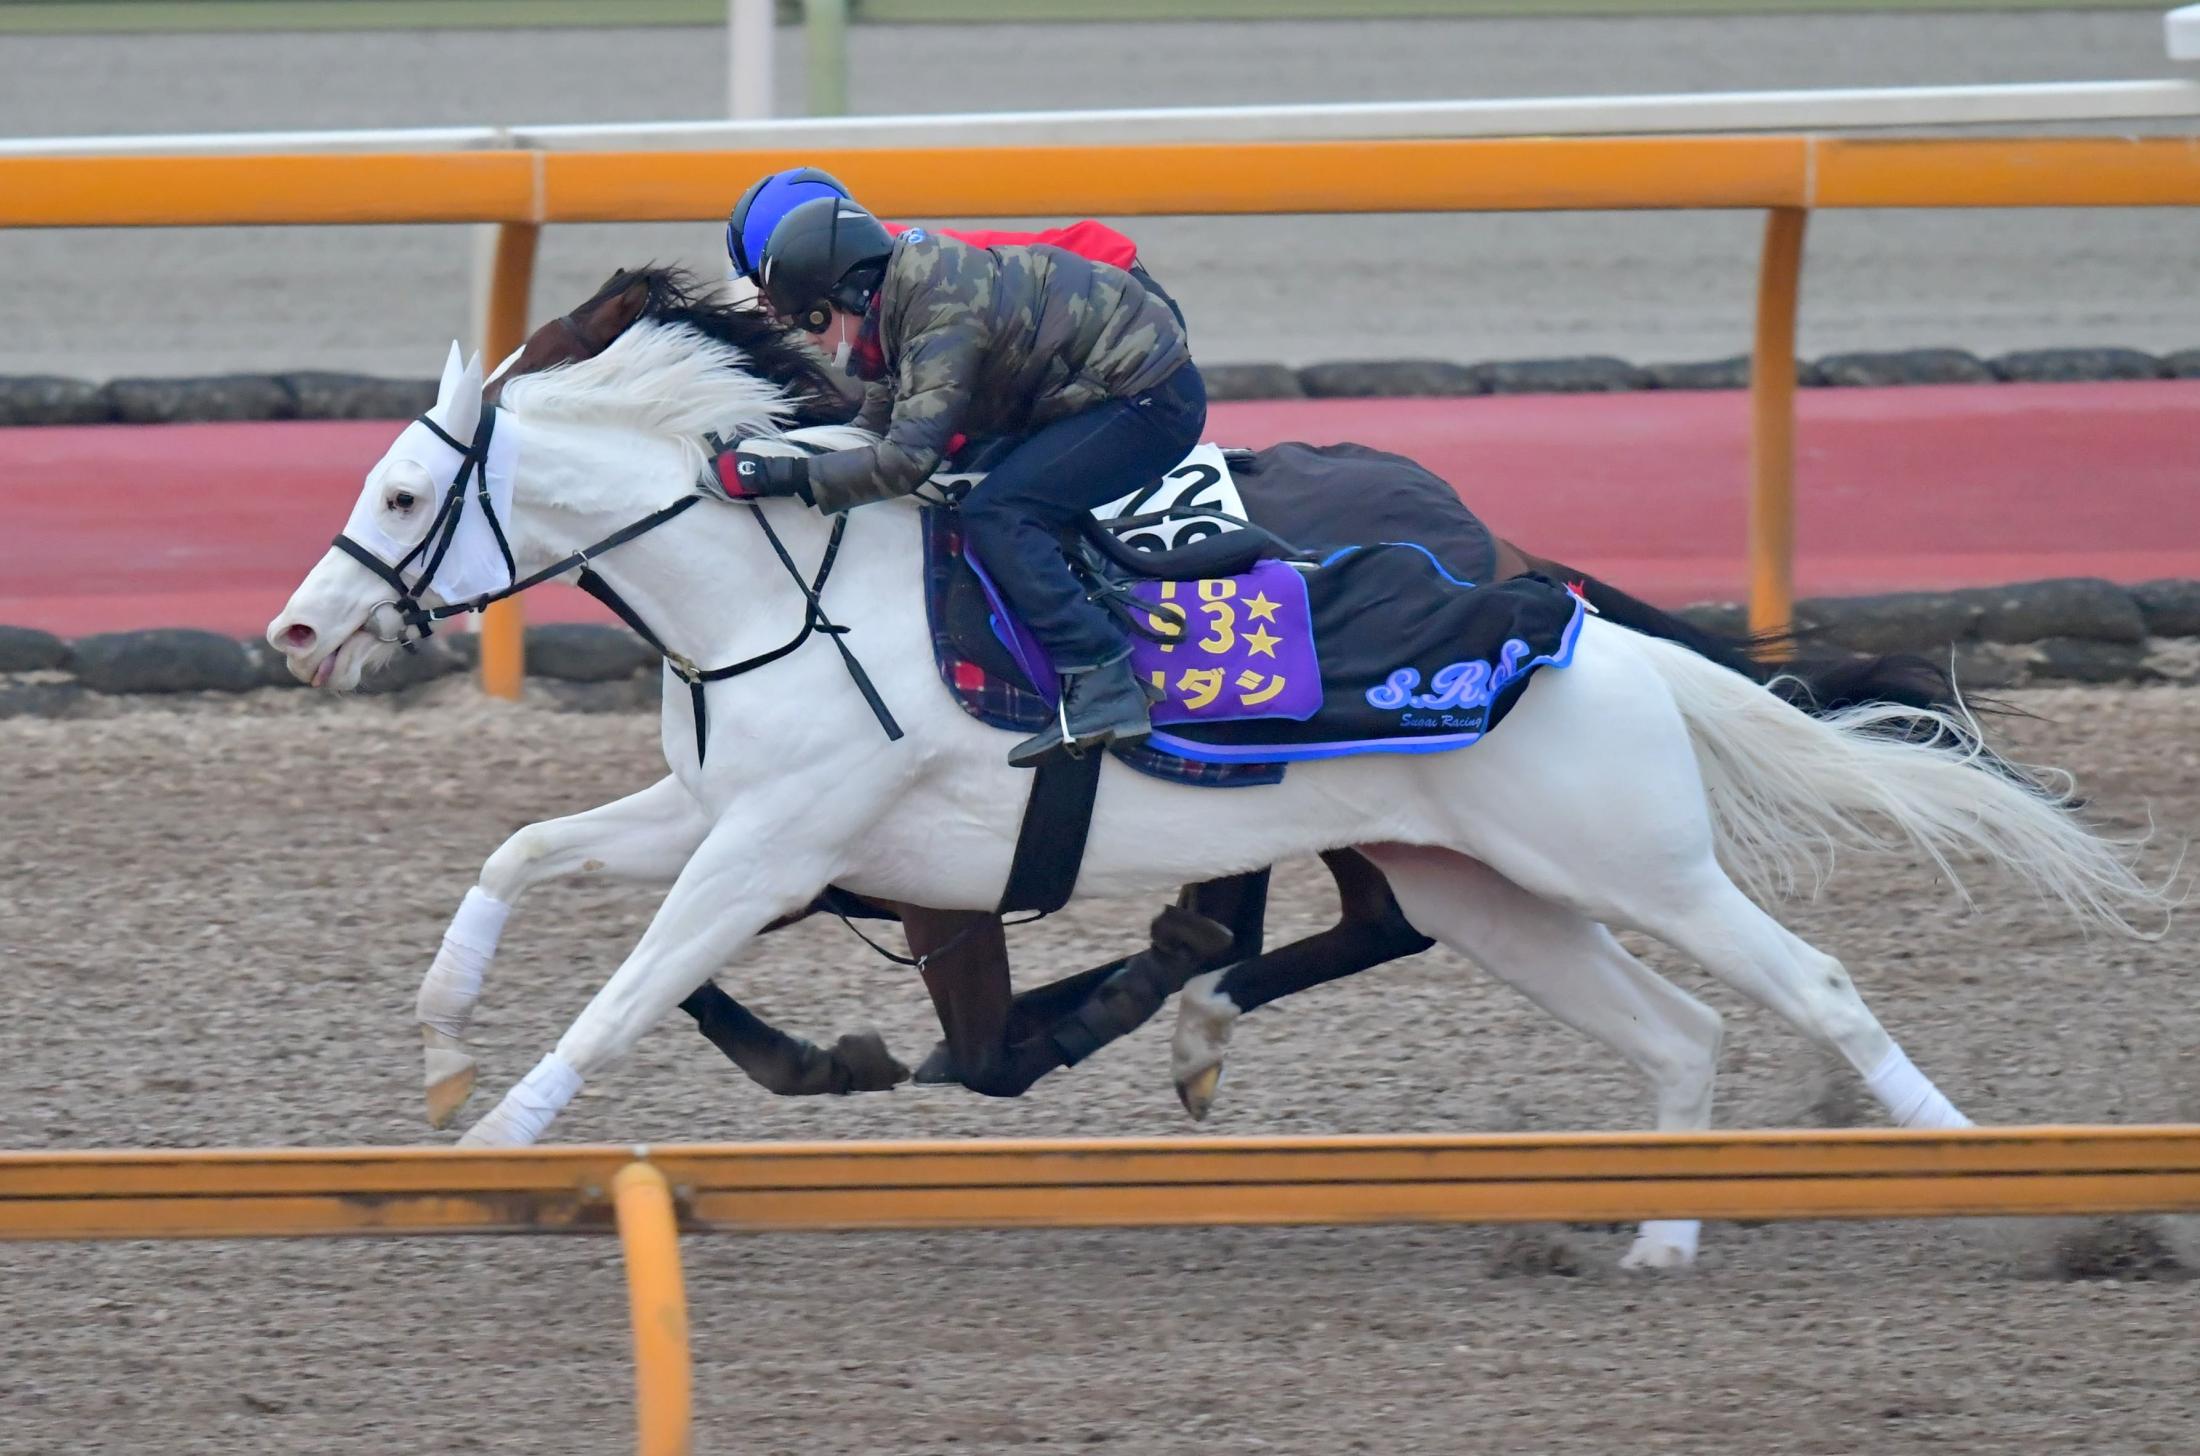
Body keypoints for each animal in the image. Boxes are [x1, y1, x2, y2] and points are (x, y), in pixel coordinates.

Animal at [270, 316, 2164, 1266]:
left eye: (397, 496)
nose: (295, 628)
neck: (778, 596)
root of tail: (1575, 625)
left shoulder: (775, 849)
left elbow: (634, 986)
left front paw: (506, 1138)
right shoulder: (721, 818)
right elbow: (520, 855)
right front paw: (441, 1060)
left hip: (1638, 861)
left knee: (1815, 984)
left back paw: (2001, 1181)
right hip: (1487, 888)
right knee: (1682, 1036)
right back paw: (1661, 1245)